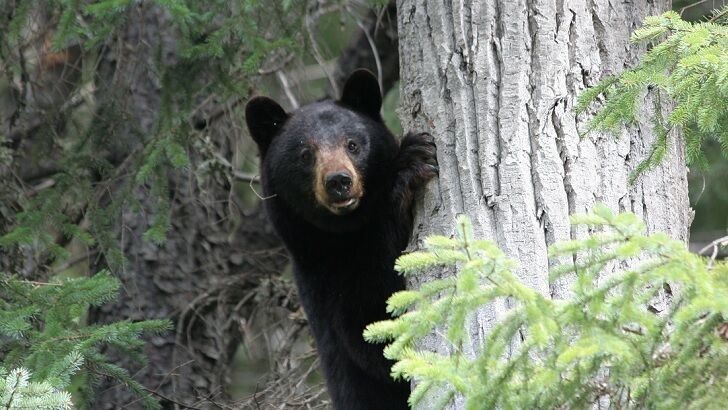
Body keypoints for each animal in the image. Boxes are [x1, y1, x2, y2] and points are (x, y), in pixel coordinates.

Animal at [245, 70, 438, 410]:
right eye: (305, 154)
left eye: (352, 144)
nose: (338, 181)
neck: (346, 233)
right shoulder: (324, 278)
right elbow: (374, 330)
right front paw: (410, 164)